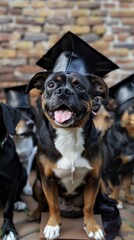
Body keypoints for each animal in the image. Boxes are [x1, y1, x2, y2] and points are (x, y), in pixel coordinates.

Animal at [25, 32, 118, 240]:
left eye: (81, 87)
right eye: (51, 85)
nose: (64, 91)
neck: (69, 134)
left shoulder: (93, 179)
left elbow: (89, 207)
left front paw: (92, 227)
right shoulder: (47, 180)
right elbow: (53, 206)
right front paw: (52, 226)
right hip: (37, 183)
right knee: (42, 203)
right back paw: (35, 213)